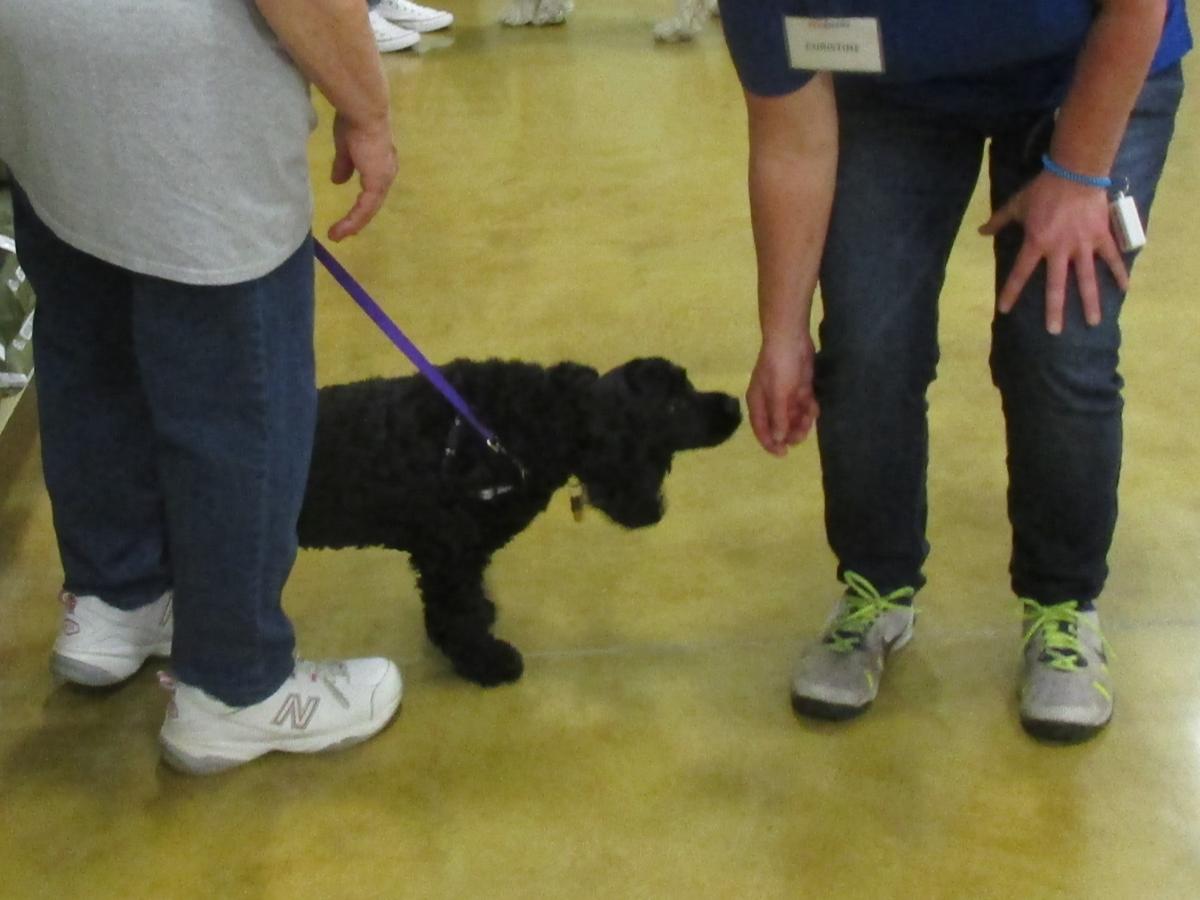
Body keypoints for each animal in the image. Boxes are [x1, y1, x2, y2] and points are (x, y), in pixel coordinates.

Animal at [297, 357, 741, 686]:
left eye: (689, 384)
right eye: (673, 405)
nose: (734, 406)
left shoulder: (462, 556)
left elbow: (468, 603)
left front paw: (484, 617)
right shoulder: (447, 556)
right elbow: (457, 616)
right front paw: (487, 662)